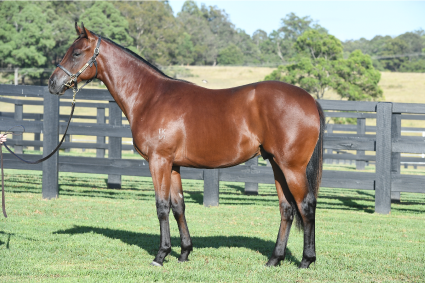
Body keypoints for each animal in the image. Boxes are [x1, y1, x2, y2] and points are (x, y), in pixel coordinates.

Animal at [48, 23, 322, 268]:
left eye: (76, 53)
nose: (52, 83)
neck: (150, 97)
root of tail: (309, 100)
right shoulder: (173, 165)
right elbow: (179, 206)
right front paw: (184, 253)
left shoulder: (159, 161)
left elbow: (162, 206)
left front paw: (161, 255)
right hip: (277, 165)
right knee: (287, 209)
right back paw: (274, 260)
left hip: (292, 167)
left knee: (306, 206)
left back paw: (306, 261)